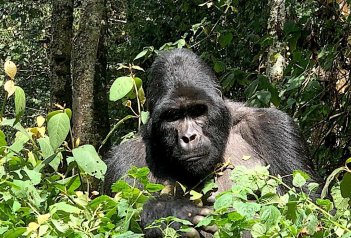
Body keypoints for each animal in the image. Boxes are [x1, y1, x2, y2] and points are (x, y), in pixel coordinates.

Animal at [104, 48, 320, 236]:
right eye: (173, 116)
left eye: (198, 111)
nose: (189, 137)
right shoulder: (123, 160)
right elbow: (120, 223)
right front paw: (168, 212)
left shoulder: (276, 127)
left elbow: (309, 213)